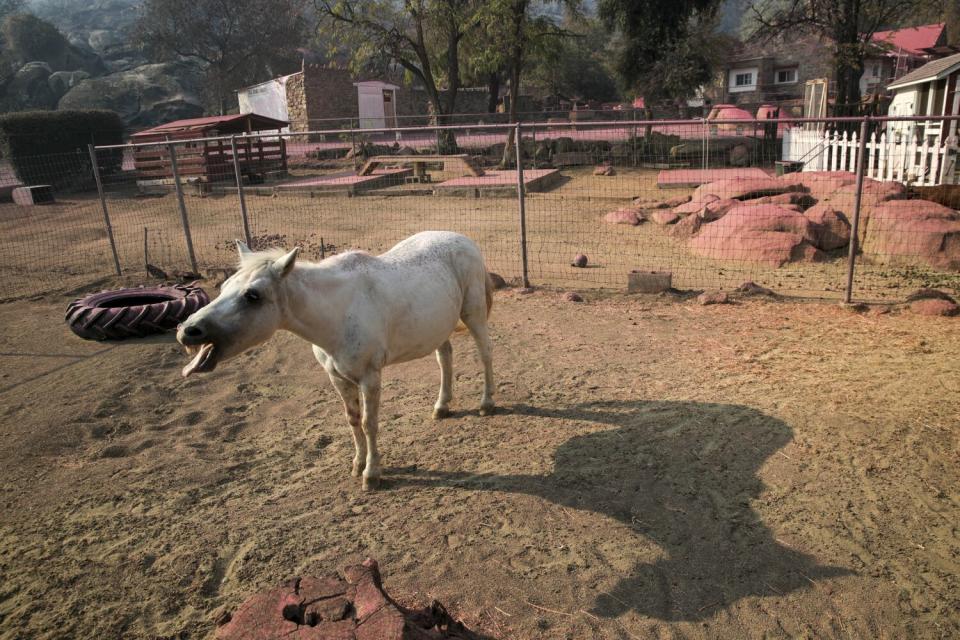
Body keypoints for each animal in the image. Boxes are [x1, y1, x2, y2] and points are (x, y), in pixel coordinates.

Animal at [176, 232, 498, 488]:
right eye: (224, 287)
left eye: (252, 295)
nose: (187, 331)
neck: (338, 311)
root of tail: (464, 240)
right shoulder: (338, 378)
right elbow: (352, 419)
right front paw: (357, 464)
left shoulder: (370, 377)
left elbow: (369, 423)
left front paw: (372, 474)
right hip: (438, 327)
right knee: (445, 358)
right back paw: (441, 406)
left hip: (473, 314)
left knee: (485, 354)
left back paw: (486, 404)